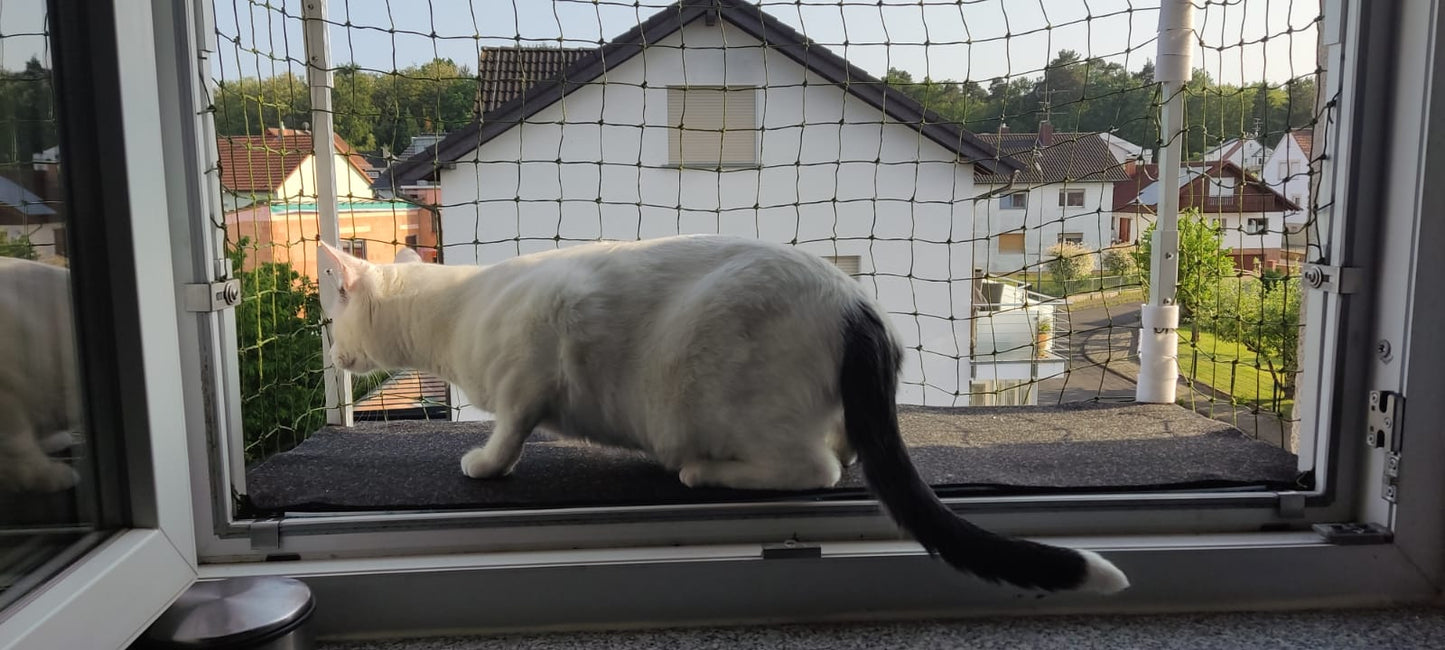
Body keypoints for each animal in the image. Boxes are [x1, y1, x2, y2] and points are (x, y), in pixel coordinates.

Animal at [319, 235, 1127, 592]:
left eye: (330, 321)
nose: (329, 350)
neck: (456, 308)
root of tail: (855, 303)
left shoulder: (537, 356)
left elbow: (511, 427)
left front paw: (486, 462)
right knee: (848, 450)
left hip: (715, 388)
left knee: (817, 468)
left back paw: (701, 470)